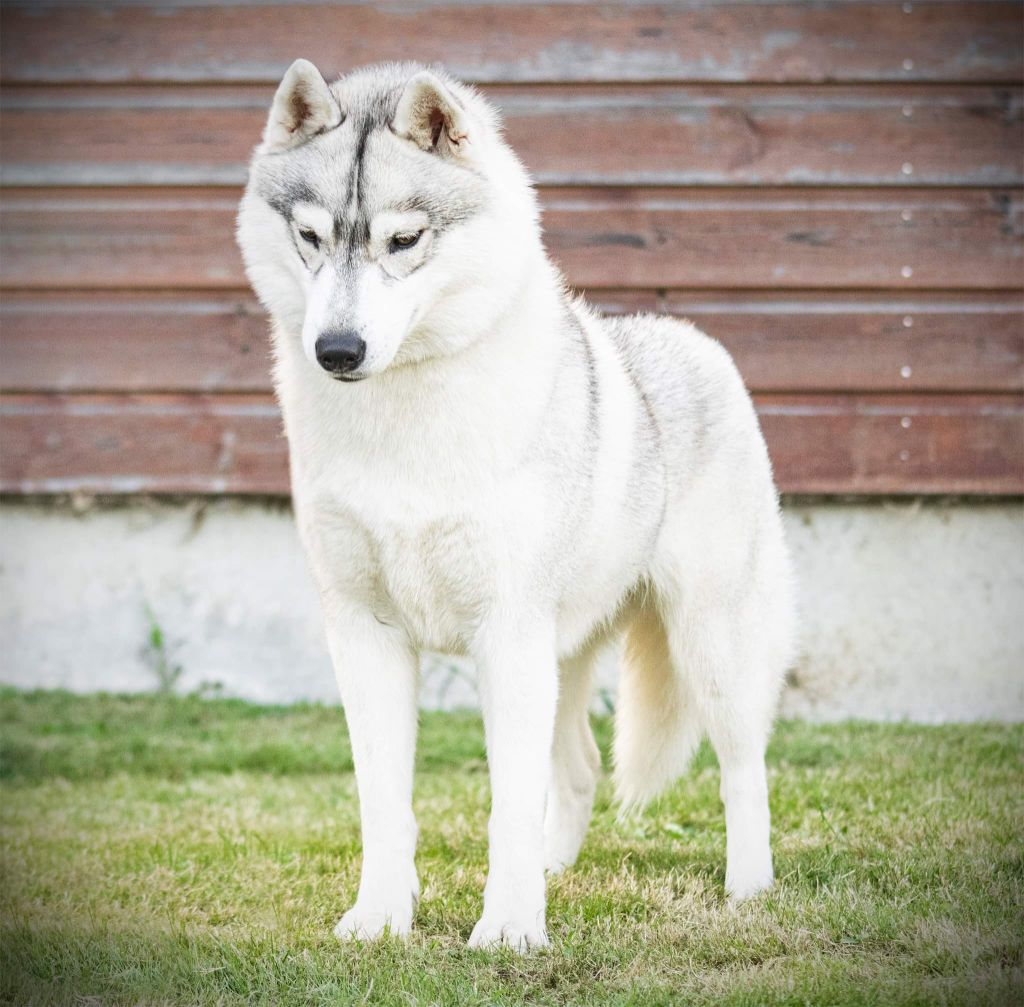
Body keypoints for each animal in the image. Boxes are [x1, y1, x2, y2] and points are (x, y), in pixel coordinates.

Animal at [235, 59, 794, 950]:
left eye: (404, 240)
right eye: (311, 237)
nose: (337, 351)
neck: (407, 420)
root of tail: (694, 340)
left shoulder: (506, 632)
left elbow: (507, 804)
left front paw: (509, 931)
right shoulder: (365, 635)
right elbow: (385, 804)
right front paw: (381, 917)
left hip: (707, 646)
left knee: (743, 768)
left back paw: (748, 888)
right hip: (561, 662)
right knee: (580, 769)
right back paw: (556, 869)